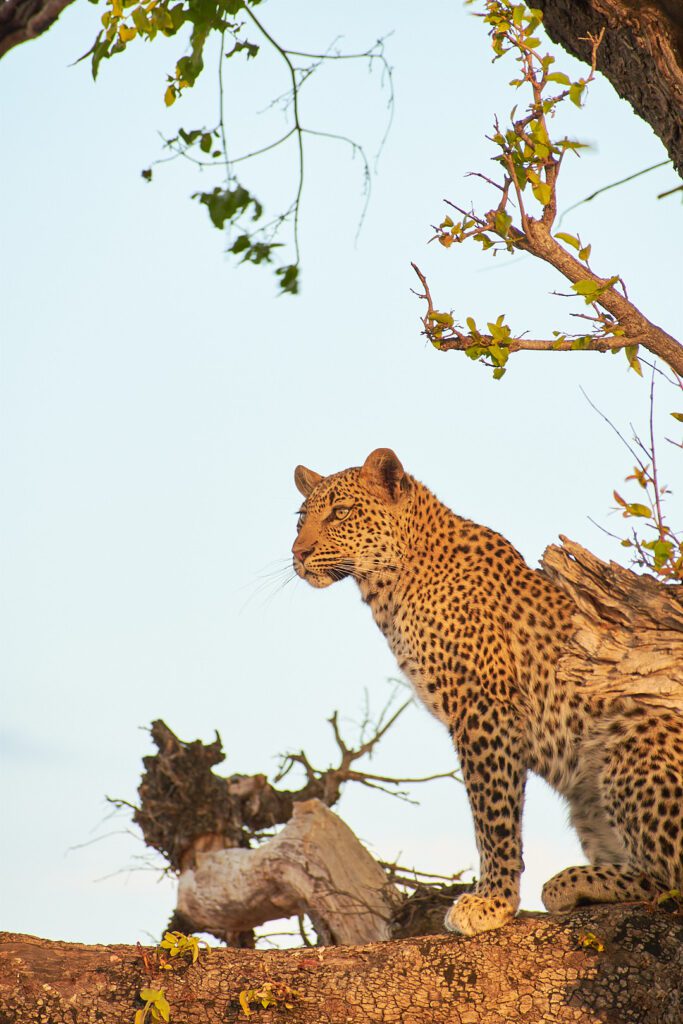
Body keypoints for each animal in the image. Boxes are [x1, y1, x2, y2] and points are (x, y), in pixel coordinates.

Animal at [291, 447, 683, 936]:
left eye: (340, 513)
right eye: (300, 518)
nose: (298, 553)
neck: (388, 587)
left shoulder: (483, 704)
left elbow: (493, 815)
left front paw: (492, 902)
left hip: (628, 746)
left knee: (672, 880)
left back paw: (568, 882)